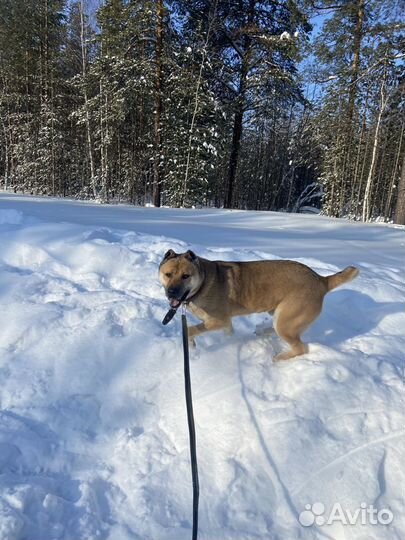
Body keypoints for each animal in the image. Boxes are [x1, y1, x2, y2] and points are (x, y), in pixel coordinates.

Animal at [158, 250, 356, 360]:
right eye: (168, 274)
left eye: (186, 276)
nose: (171, 292)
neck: (203, 282)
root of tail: (322, 280)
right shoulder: (226, 324)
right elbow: (229, 334)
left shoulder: (218, 321)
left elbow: (189, 329)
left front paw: (191, 346)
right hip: (279, 316)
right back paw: (262, 331)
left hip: (286, 321)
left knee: (300, 348)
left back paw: (279, 358)